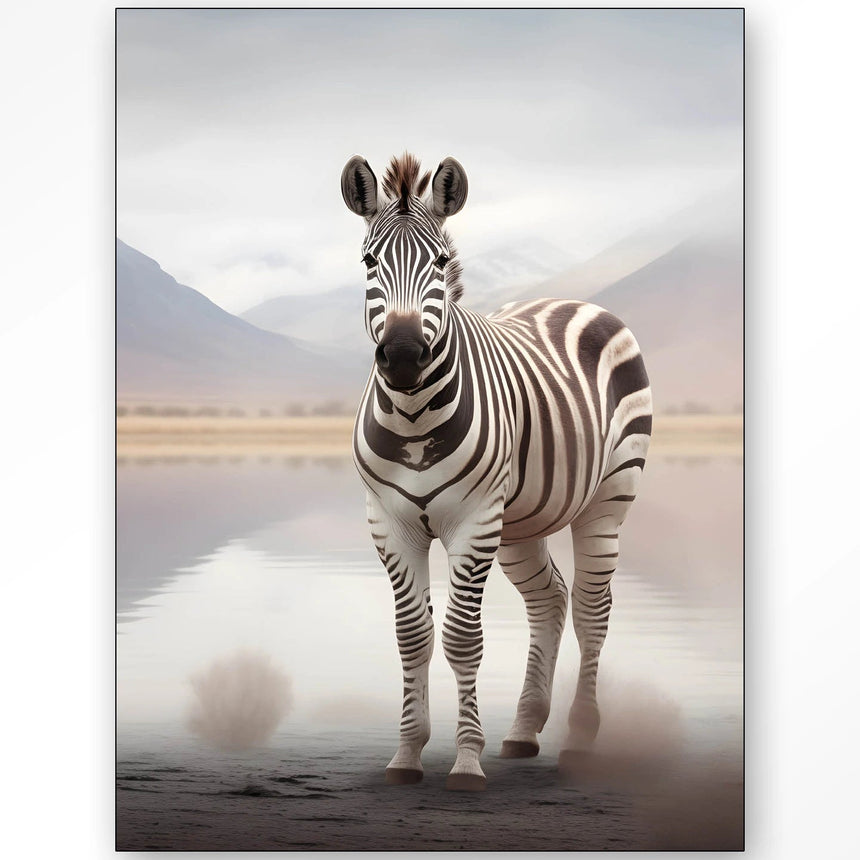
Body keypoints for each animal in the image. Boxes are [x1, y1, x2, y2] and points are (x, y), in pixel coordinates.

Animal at [341, 152, 652, 791]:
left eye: (440, 262)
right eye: (368, 262)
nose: (403, 356)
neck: (413, 416)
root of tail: (573, 300)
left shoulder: (473, 521)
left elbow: (462, 638)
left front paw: (465, 761)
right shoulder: (389, 523)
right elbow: (412, 637)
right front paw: (407, 754)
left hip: (609, 497)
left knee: (592, 609)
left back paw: (578, 740)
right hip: (522, 523)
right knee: (550, 599)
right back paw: (525, 730)